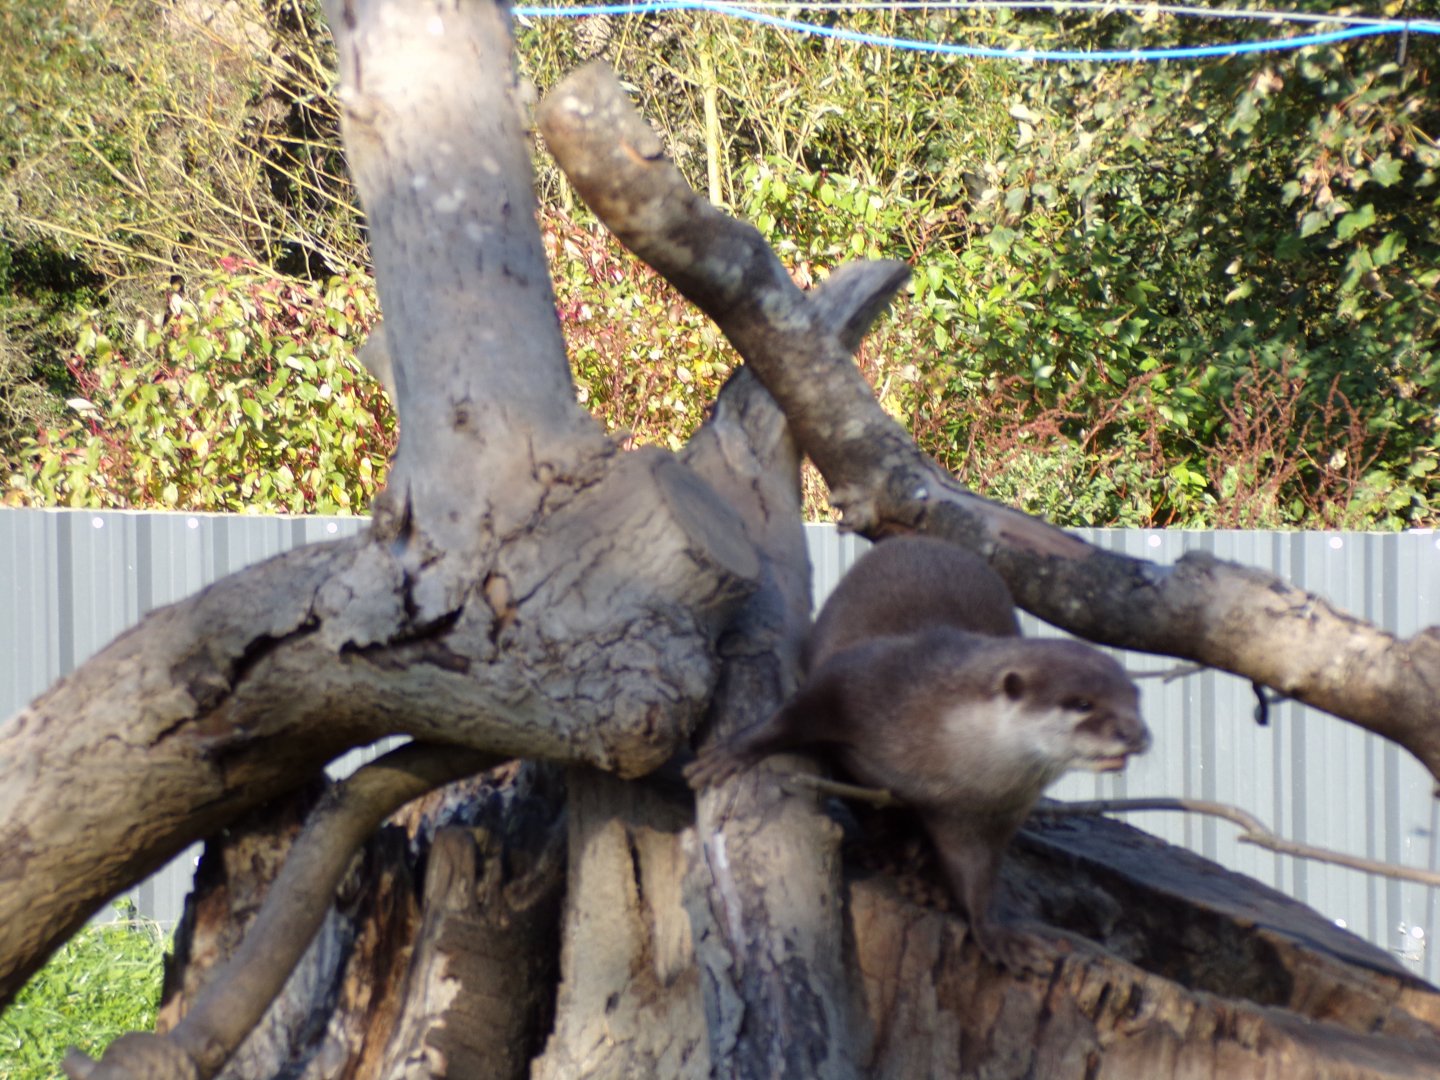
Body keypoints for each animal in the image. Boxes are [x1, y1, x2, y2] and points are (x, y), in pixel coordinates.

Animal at [686, 535, 1150, 968]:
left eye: (1135, 696)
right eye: (1082, 703)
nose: (1136, 734)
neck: (940, 764)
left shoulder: (981, 815)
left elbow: (978, 876)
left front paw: (998, 934)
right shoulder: (857, 680)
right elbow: (792, 715)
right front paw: (728, 754)